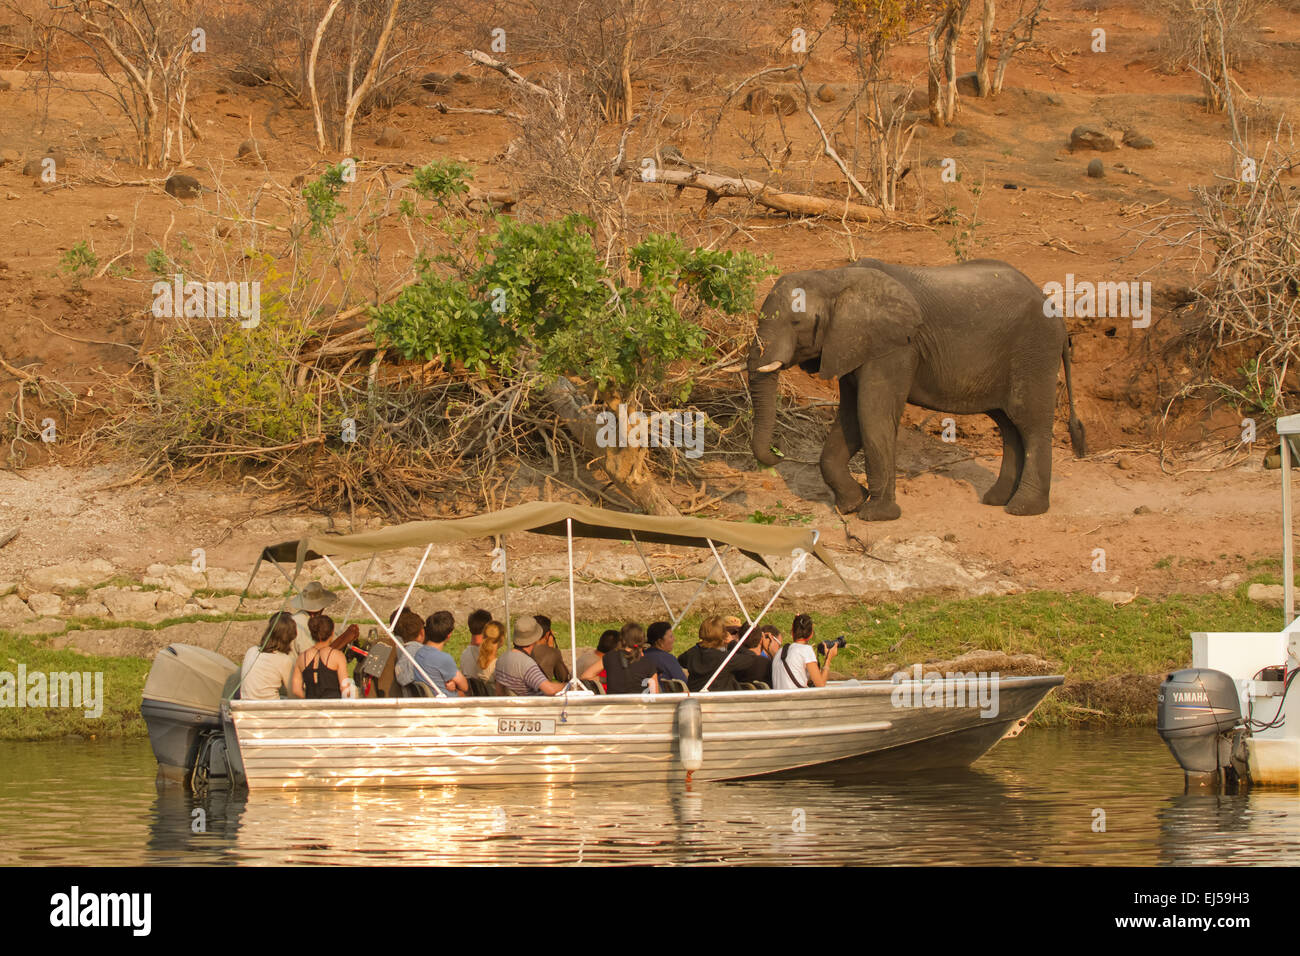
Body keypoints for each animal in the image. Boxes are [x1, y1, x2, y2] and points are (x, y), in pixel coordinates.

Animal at [746, 258, 1086, 520]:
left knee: (1030, 421)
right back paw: (996, 500)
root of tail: (1058, 316)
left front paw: (875, 515)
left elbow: (872, 415)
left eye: (796, 322)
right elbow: (850, 418)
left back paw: (1022, 509)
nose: (777, 456)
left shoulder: (896, 347)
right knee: (1008, 424)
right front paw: (852, 504)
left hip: (1034, 352)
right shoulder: (853, 345)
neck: (835, 277)